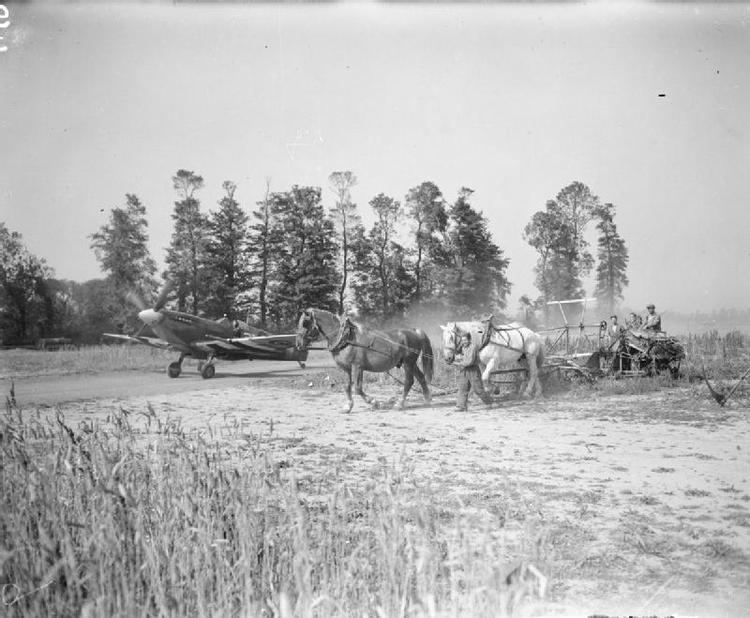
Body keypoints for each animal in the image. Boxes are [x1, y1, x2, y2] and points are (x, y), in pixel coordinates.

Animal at [296, 306, 434, 412]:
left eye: (304, 323)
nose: (298, 344)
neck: (345, 338)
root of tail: (415, 331)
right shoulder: (346, 368)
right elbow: (347, 386)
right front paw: (348, 406)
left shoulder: (357, 366)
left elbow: (357, 389)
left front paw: (374, 402)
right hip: (411, 363)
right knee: (421, 377)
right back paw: (427, 399)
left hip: (408, 363)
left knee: (409, 381)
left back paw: (399, 404)